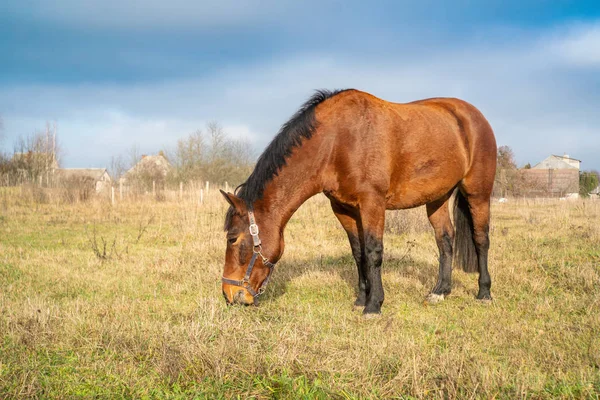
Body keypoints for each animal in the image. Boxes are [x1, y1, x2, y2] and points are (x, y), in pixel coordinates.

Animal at [220, 90, 496, 316]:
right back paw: (440, 291)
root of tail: (473, 116)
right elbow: (358, 253)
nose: (229, 294)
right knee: (445, 239)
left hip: (478, 194)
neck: (336, 142)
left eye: (232, 239)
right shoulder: (344, 209)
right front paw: (361, 299)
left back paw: (484, 293)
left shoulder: (372, 203)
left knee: (481, 239)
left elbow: (373, 252)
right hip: (437, 198)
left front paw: (374, 306)